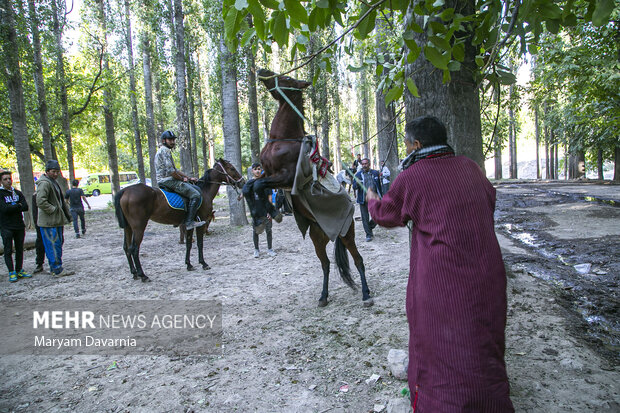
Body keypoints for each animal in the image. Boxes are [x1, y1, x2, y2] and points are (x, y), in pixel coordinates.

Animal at [115, 158, 243, 280]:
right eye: (232, 168)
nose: (242, 181)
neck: (204, 191)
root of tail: (125, 191)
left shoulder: (189, 224)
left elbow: (189, 244)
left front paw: (189, 265)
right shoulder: (201, 222)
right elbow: (200, 243)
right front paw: (203, 263)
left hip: (128, 227)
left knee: (126, 248)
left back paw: (134, 273)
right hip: (139, 227)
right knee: (134, 249)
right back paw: (143, 275)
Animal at [246, 68, 372, 306]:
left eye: (286, 78)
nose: (262, 70)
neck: (283, 139)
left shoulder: (284, 177)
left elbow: (258, 185)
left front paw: (272, 214)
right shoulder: (267, 173)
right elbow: (251, 185)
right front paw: (258, 216)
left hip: (347, 235)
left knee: (359, 260)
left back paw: (366, 294)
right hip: (317, 238)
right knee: (326, 265)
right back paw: (323, 296)